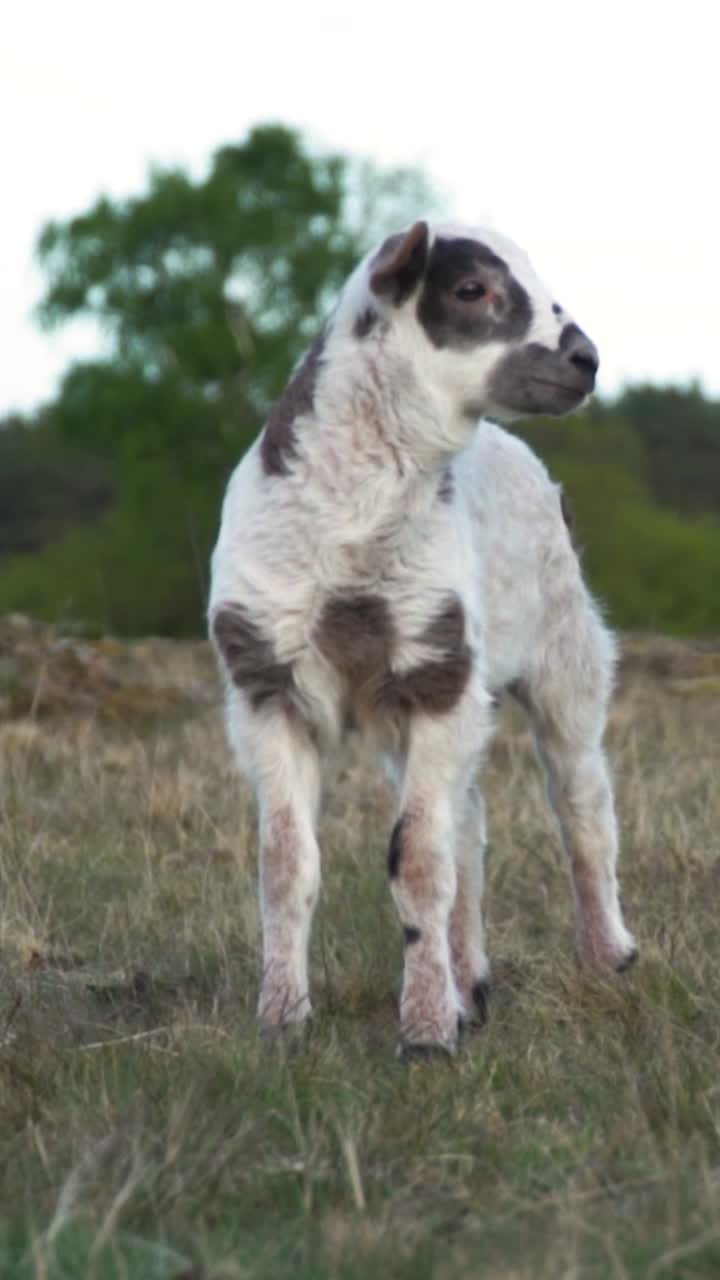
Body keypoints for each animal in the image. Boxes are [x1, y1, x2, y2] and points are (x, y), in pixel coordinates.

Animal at [208, 220, 637, 1056]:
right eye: (472, 290)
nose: (586, 359)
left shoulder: (437, 669)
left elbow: (417, 863)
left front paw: (428, 1037)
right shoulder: (267, 678)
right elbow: (286, 863)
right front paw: (281, 1021)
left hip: (564, 644)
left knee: (579, 800)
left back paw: (609, 955)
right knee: (469, 826)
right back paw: (472, 983)